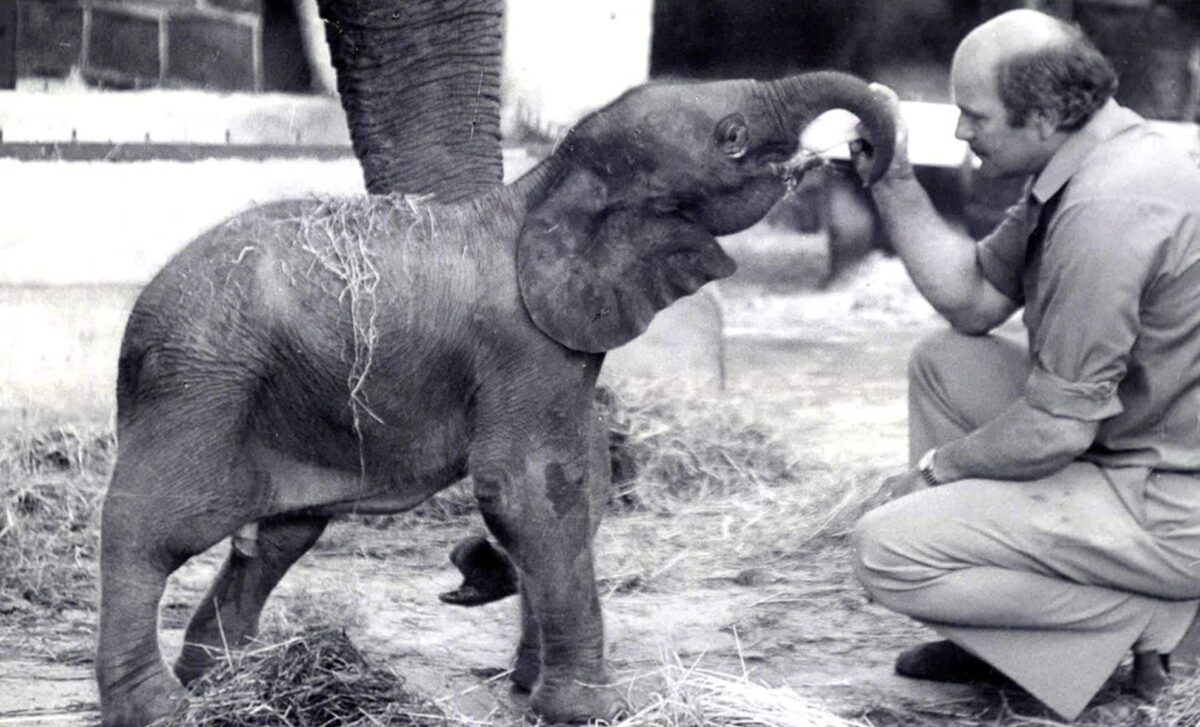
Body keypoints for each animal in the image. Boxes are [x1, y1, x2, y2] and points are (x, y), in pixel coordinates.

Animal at [94, 67, 895, 725]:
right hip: (203, 381)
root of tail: (136, 322)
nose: (862, 153)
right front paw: (592, 710)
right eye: (731, 139)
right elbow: (530, 488)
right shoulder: (521, 346)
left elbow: (580, 480)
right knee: (155, 527)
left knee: (280, 534)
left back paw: (227, 681)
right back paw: (161, 708)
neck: (541, 188)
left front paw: (524, 676)